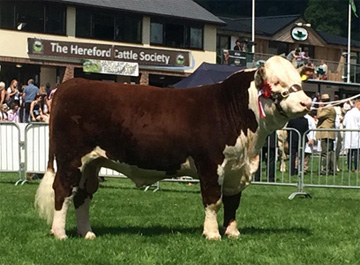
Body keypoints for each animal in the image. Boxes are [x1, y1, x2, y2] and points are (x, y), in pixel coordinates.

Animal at [35, 55, 312, 239]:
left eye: (297, 80)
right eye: (276, 82)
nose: (307, 103)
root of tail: (72, 84)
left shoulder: (237, 168)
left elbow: (233, 202)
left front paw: (233, 232)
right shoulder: (210, 164)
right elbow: (213, 200)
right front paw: (212, 234)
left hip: (92, 163)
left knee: (83, 195)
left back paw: (87, 233)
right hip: (71, 158)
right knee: (63, 190)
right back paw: (59, 233)